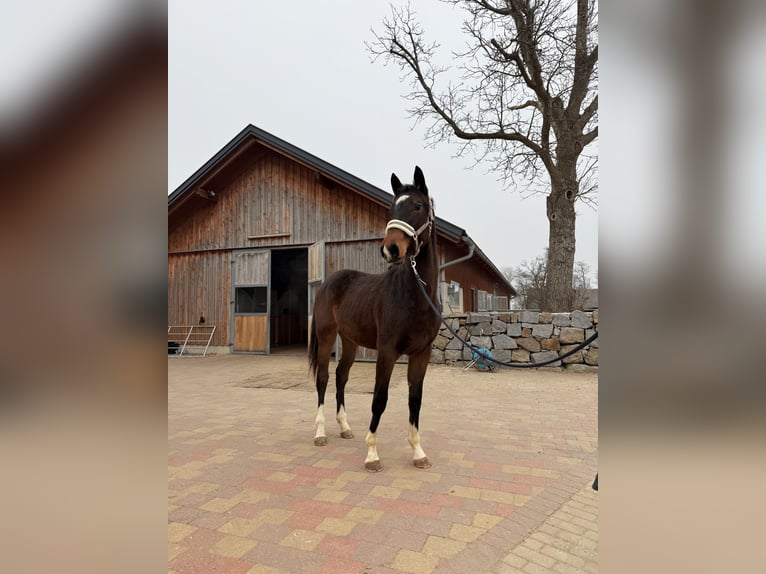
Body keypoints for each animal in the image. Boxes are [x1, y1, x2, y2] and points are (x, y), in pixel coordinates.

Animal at [308, 166, 440, 472]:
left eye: (418, 206)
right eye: (391, 208)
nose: (390, 249)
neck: (414, 296)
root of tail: (329, 282)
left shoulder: (421, 353)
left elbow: (415, 400)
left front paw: (418, 453)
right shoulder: (387, 352)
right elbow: (380, 399)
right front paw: (372, 455)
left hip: (350, 341)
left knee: (341, 376)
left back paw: (344, 428)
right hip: (326, 336)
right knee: (323, 378)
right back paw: (320, 433)